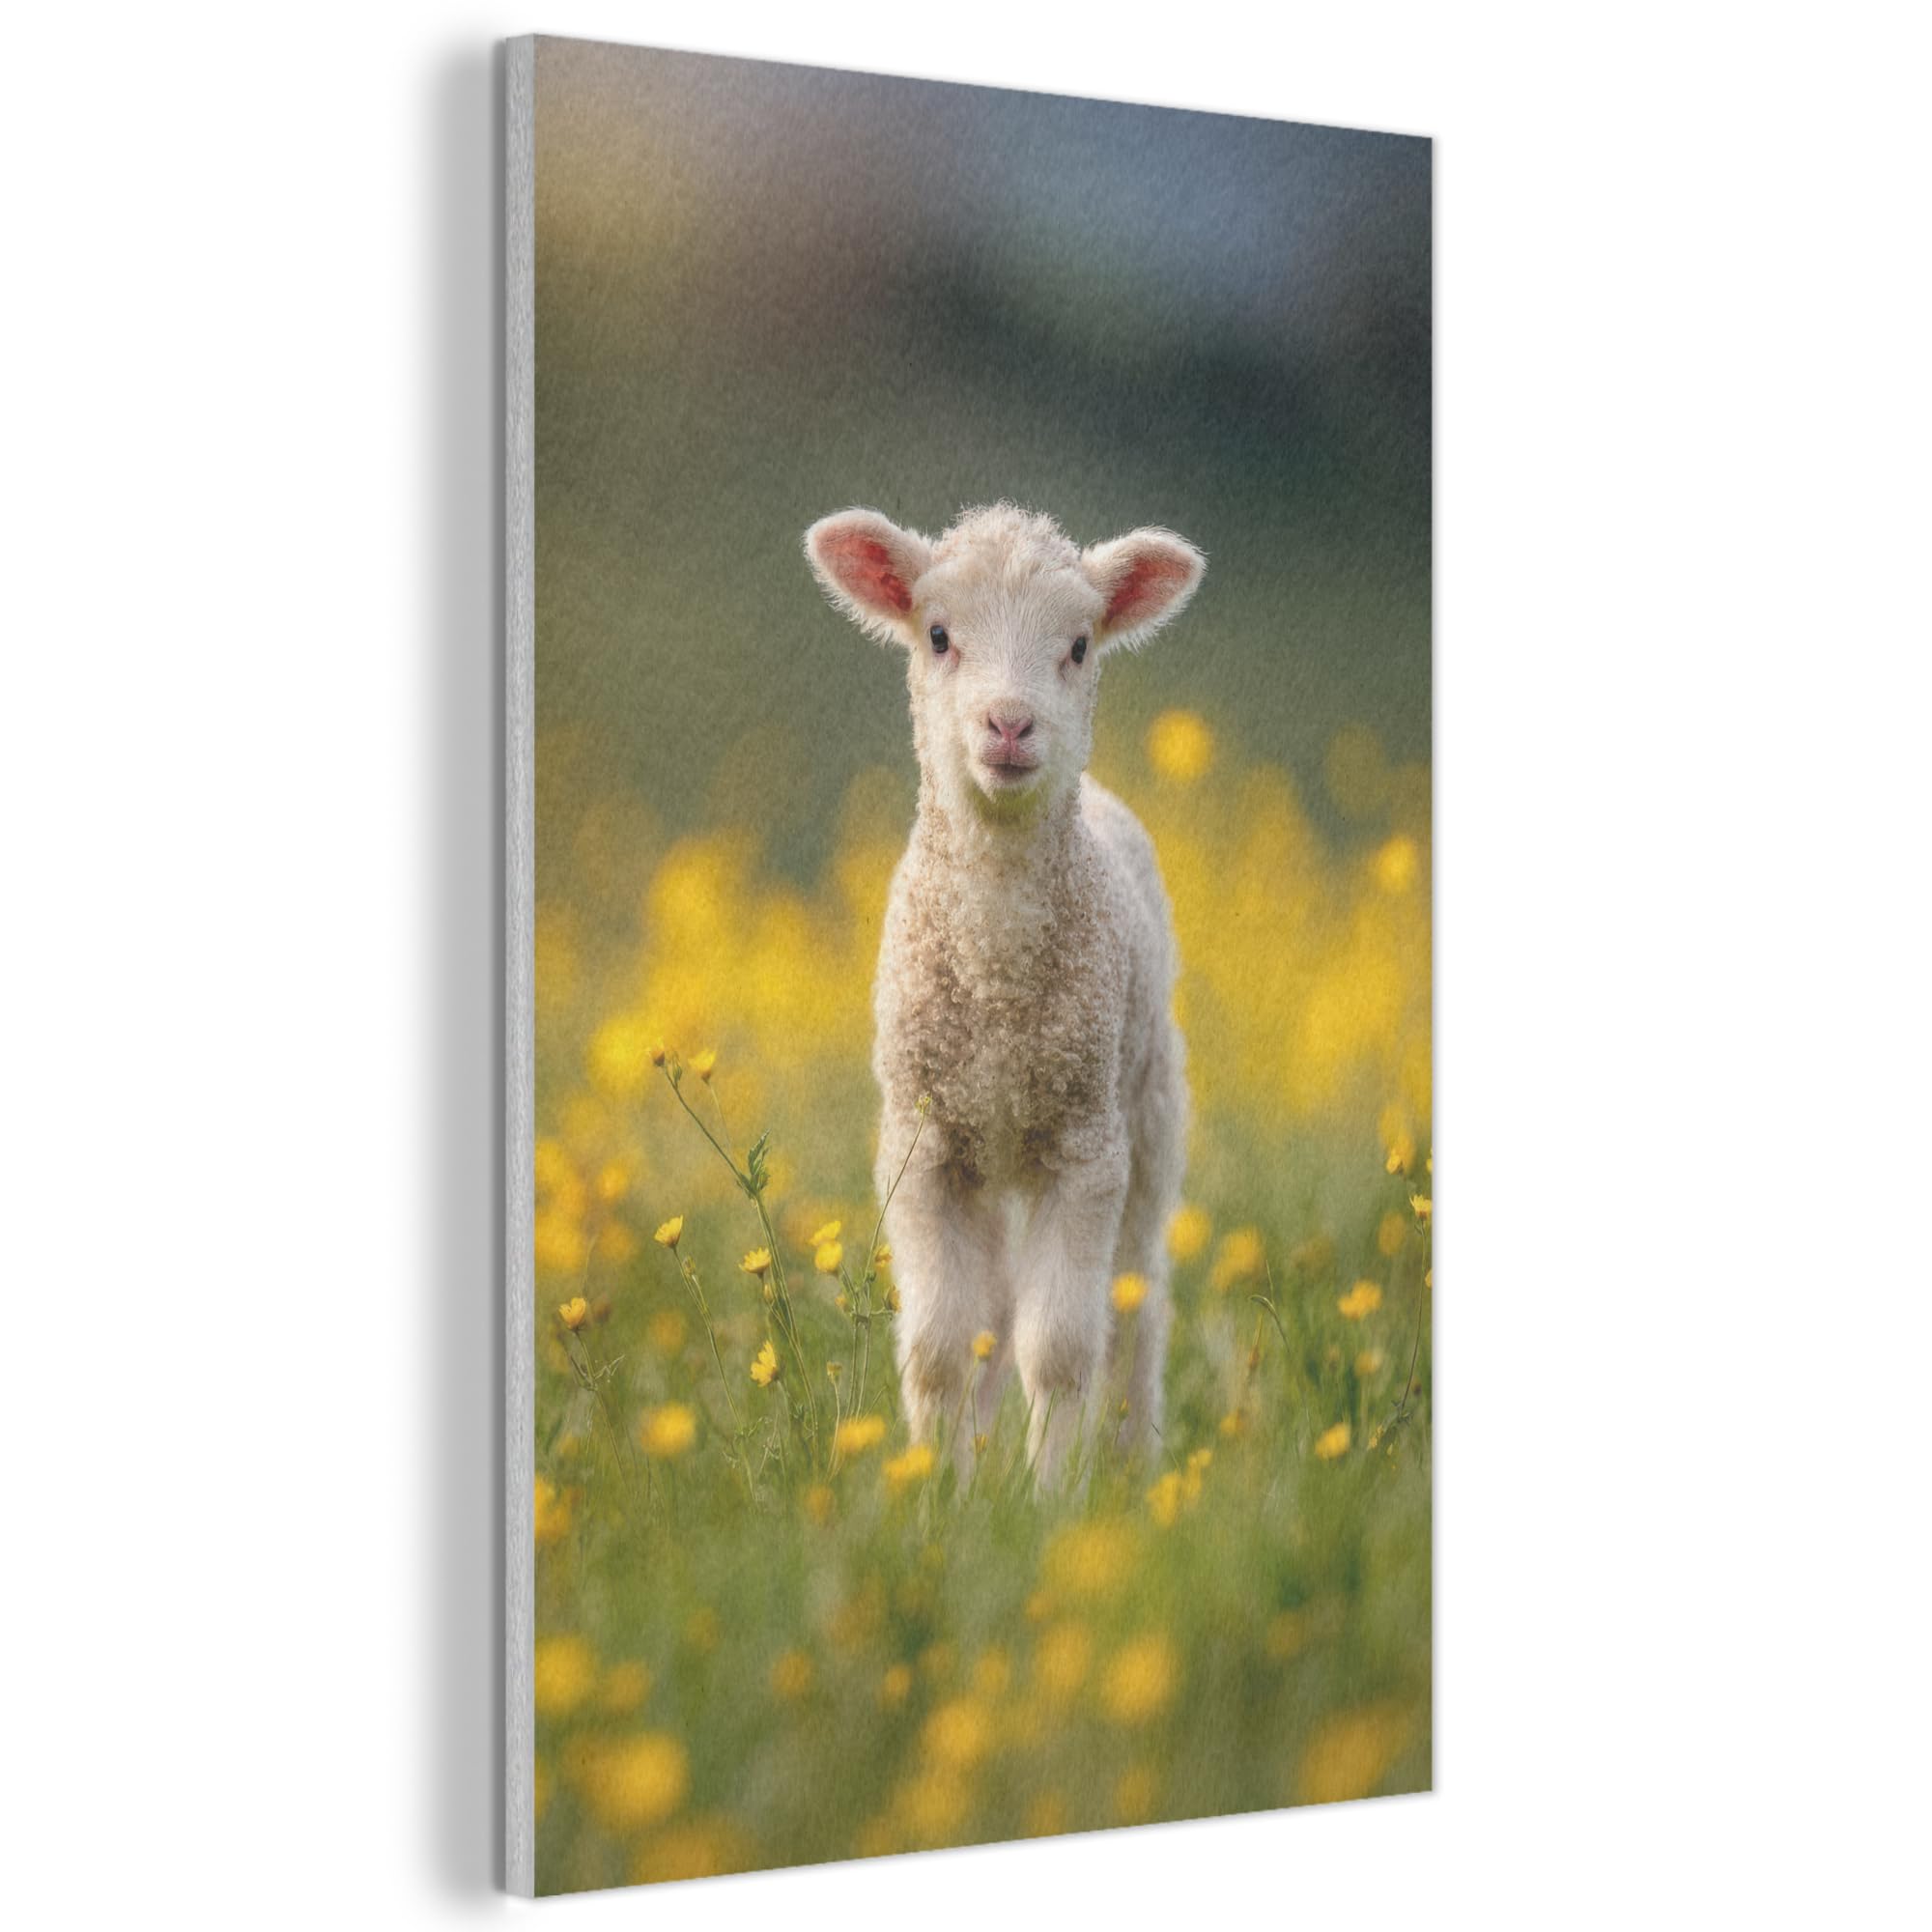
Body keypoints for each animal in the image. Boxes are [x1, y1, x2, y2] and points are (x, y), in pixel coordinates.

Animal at [804, 501, 1204, 1481]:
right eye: (939, 636)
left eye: (1080, 644)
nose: (1011, 724)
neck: (996, 987)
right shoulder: (922, 1144)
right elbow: (942, 1346)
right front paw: (938, 1490)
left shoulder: (1085, 1145)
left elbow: (1059, 1348)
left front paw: (1053, 1494)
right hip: (985, 1149)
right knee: (990, 1313)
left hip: (1147, 1111)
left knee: (1134, 1307)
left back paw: (1131, 1467)